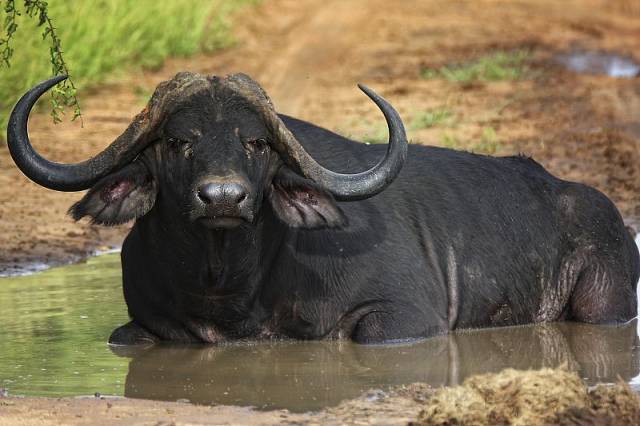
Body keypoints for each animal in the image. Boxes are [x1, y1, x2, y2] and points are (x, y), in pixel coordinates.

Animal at [6, 73, 640, 344]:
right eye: (178, 140)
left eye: (256, 143)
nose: (222, 198)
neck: (230, 283)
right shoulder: (141, 323)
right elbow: (128, 337)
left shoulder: (408, 317)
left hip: (606, 305)